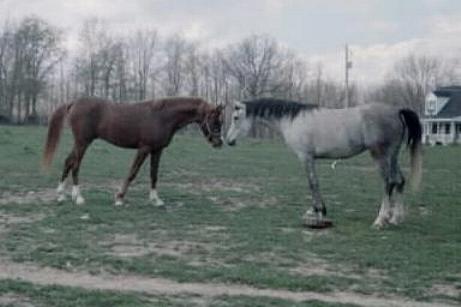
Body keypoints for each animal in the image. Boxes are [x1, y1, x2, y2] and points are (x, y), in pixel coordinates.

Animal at [42, 96, 223, 207]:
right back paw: (78, 197)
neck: (162, 116)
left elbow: (154, 174)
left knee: (68, 161)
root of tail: (73, 102)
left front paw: (156, 200)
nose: (219, 143)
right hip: (83, 142)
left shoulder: (157, 150)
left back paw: (61, 194)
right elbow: (132, 172)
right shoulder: (144, 149)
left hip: (80, 143)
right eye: (215, 121)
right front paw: (119, 198)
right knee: (76, 164)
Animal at [225, 98, 422, 229]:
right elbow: (314, 183)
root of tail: (396, 111)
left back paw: (381, 220)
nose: (228, 141)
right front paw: (316, 210)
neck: (293, 120)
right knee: (399, 181)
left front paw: (318, 210)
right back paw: (396, 218)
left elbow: (313, 183)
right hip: (393, 156)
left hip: (380, 156)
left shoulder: (306, 157)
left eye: (235, 117)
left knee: (388, 183)